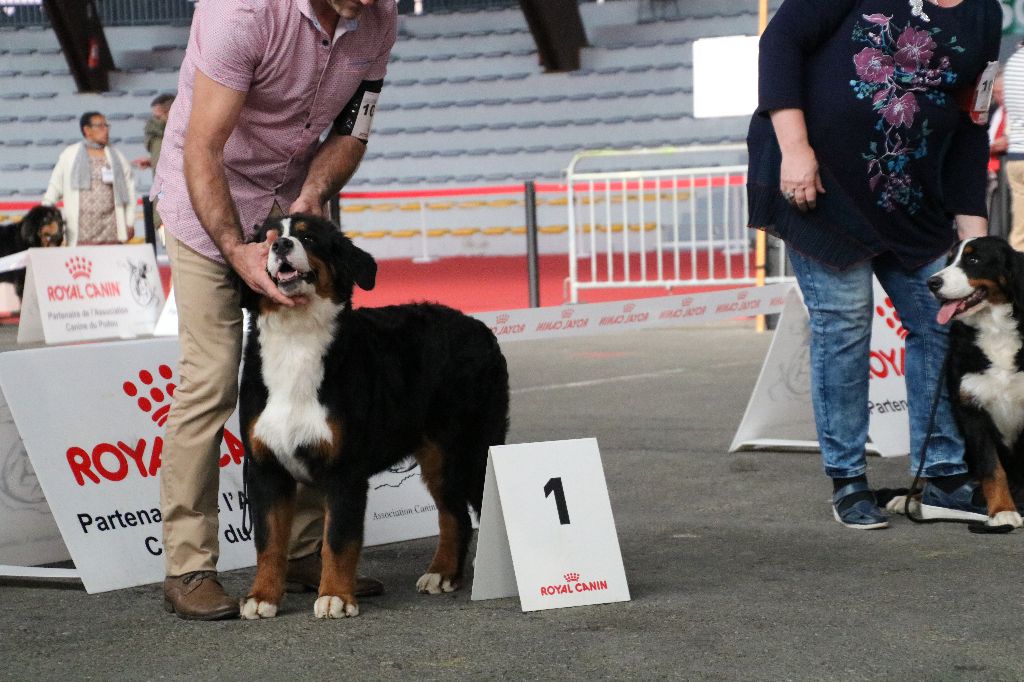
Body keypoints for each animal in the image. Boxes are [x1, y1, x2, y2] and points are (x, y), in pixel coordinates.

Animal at [239, 212, 512, 614]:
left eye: (308, 237)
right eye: (267, 239)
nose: (281, 245)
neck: (295, 341)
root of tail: (480, 326)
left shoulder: (344, 469)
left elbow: (338, 540)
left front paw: (335, 597)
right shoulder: (265, 466)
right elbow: (269, 541)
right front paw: (262, 598)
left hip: (472, 450)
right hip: (439, 456)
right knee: (455, 516)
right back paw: (442, 574)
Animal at [933, 236, 1024, 528]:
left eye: (973, 259)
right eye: (949, 259)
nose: (931, 283)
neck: (996, 331)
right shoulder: (970, 410)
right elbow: (991, 468)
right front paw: (1002, 511)